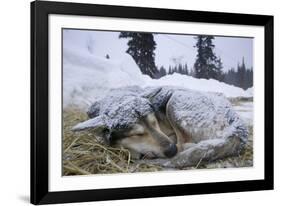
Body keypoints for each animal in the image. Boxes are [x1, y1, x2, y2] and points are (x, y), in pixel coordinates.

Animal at [72, 86, 247, 168]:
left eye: (154, 122)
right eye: (137, 134)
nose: (171, 150)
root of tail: (237, 126)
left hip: (174, 100)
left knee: (184, 146)